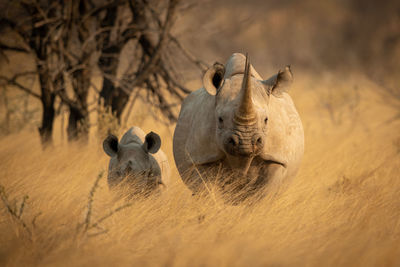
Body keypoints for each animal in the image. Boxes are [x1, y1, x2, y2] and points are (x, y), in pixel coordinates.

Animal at [172, 53, 304, 202]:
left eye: (266, 120)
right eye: (220, 119)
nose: (245, 143)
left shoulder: (276, 157)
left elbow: (264, 195)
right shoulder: (201, 157)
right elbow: (207, 191)